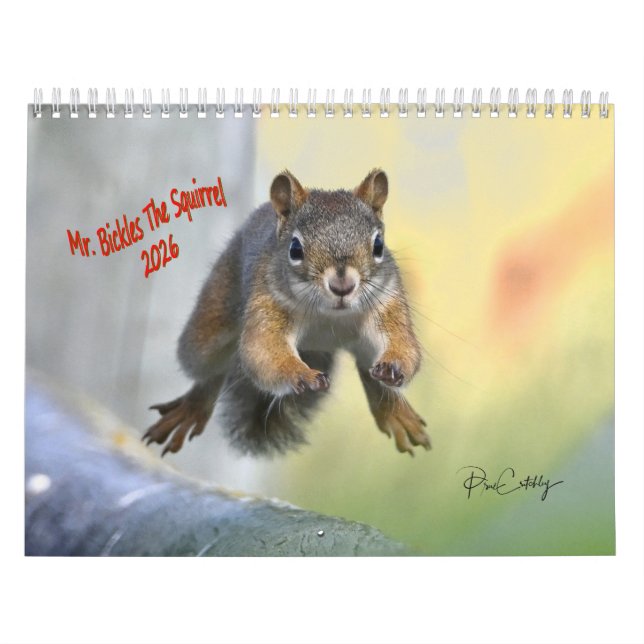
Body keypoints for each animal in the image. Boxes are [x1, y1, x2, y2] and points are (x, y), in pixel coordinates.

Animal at [143, 169, 430, 456]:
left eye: (378, 245)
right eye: (295, 249)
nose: (342, 286)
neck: (329, 318)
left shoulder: (387, 301)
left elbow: (403, 344)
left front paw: (394, 365)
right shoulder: (268, 302)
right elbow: (263, 350)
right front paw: (300, 374)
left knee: (368, 370)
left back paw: (394, 412)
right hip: (209, 326)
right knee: (211, 370)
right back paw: (192, 407)